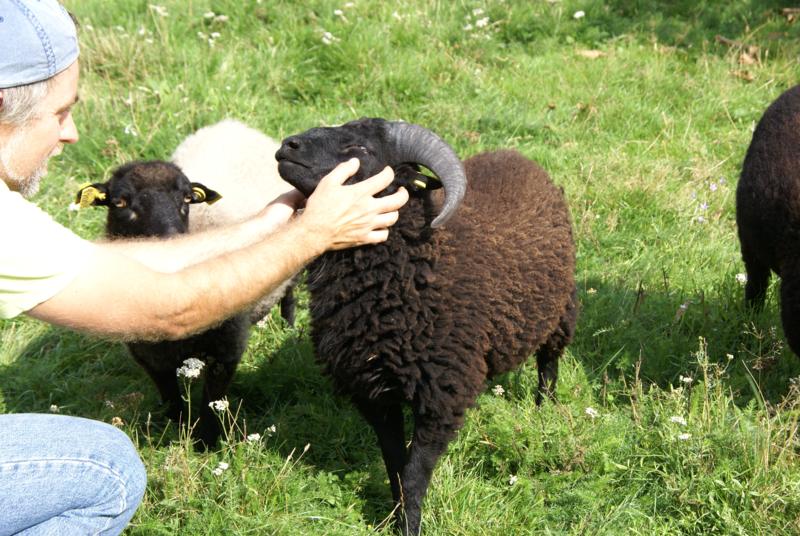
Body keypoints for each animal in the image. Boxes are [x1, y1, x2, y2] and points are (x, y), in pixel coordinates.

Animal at [77, 160, 250, 448]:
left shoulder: (226, 350)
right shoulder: (149, 358)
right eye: (120, 202)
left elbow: (211, 403)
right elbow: (171, 400)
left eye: (187, 198)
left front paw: (205, 444)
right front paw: (179, 432)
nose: (172, 243)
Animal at [278, 118, 580, 536]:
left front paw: (410, 526)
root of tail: (516, 156)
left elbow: (415, 472)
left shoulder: (442, 395)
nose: (287, 146)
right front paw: (394, 517)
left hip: (560, 310)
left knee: (548, 364)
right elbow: (394, 466)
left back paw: (543, 410)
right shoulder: (374, 393)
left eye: (360, 149)